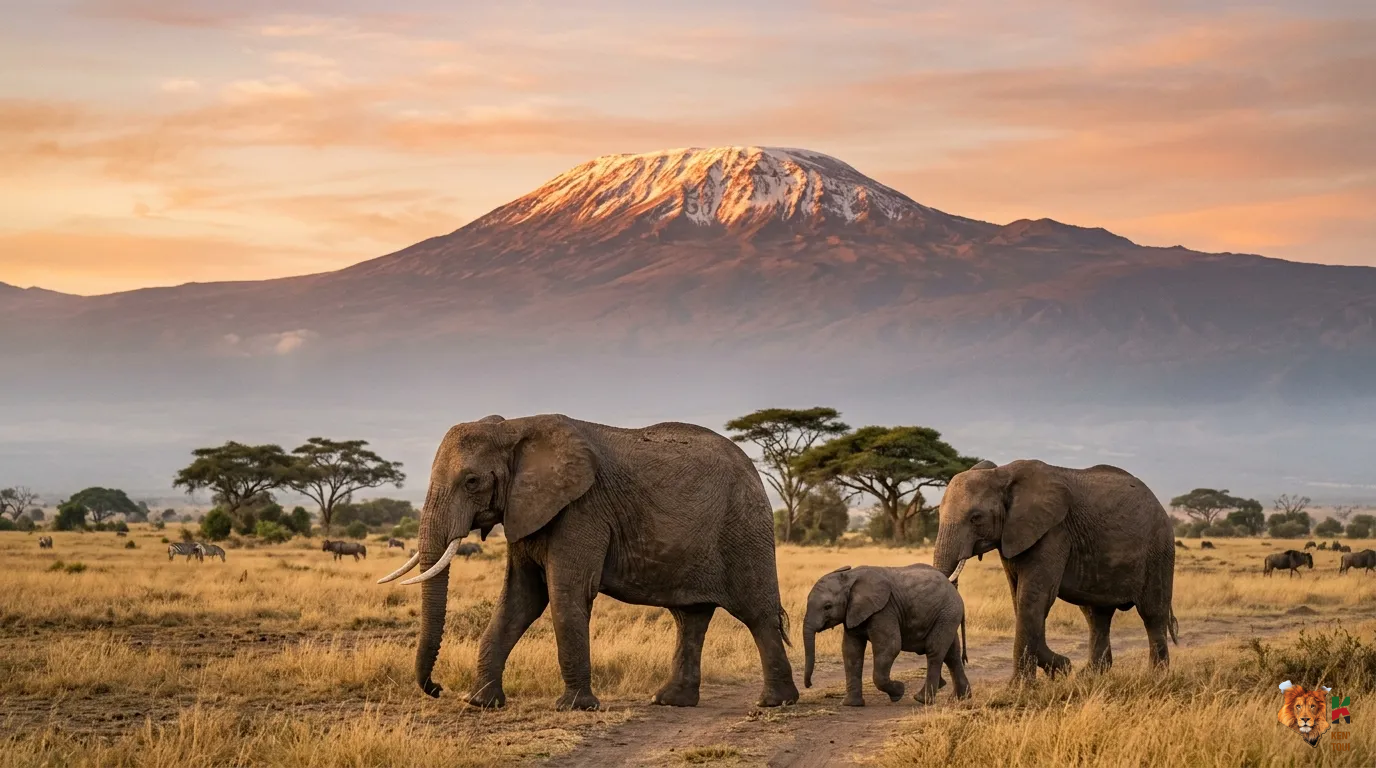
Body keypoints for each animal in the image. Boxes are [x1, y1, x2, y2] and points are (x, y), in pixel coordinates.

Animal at [376, 414, 798, 712]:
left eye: (471, 481)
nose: (437, 688)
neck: (514, 428)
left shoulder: (583, 508)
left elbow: (566, 594)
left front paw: (574, 708)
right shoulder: (526, 509)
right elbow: (520, 601)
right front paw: (478, 703)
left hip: (744, 527)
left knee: (757, 613)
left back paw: (774, 703)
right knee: (689, 618)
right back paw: (670, 701)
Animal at [802, 564, 969, 706]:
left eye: (827, 607)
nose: (809, 684)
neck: (850, 577)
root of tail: (954, 590)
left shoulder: (884, 610)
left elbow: (890, 647)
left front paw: (899, 692)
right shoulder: (852, 613)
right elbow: (851, 651)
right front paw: (851, 704)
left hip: (947, 613)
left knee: (935, 651)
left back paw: (922, 700)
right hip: (947, 616)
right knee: (952, 655)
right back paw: (960, 698)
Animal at [933, 459, 1178, 681]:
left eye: (976, 518)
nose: (964, 659)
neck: (1001, 473)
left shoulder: (1053, 532)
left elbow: (1033, 597)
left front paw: (1020, 688)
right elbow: (1019, 597)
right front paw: (1062, 668)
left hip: (1159, 550)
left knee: (1152, 613)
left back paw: (1156, 677)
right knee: (1096, 616)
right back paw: (1089, 676)